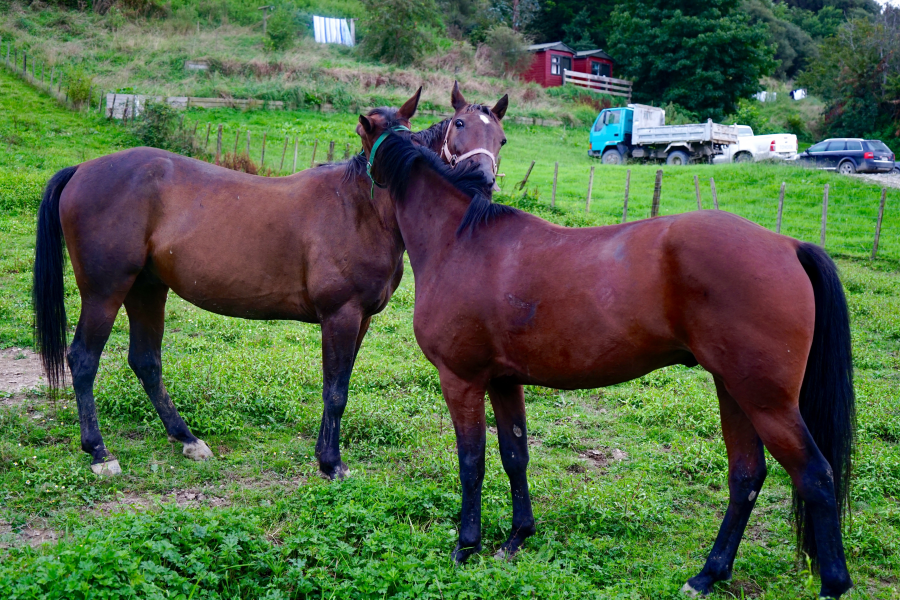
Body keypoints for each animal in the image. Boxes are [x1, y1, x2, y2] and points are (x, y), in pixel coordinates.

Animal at [31, 84, 510, 480]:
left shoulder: (362, 320)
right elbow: (335, 391)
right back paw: (99, 453)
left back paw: (187, 438)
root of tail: (82, 169)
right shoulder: (340, 315)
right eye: (460, 126)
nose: (482, 180)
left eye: (501, 138)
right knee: (84, 360)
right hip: (105, 292)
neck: (360, 209)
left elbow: (338, 386)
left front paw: (323, 456)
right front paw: (331, 464)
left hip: (147, 289)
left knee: (146, 361)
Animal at [356, 111, 856, 596]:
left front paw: (466, 546)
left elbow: (471, 461)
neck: (461, 242)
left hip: (768, 402)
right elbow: (514, 454)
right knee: (747, 477)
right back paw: (708, 575)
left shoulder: (461, 380)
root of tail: (788, 245)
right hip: (735, 391)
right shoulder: (503, 381)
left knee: (815, 477)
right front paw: (516, 537)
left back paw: (830, 583)